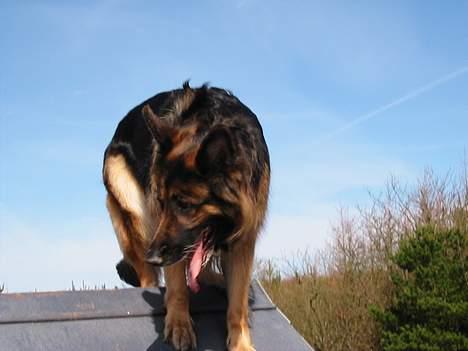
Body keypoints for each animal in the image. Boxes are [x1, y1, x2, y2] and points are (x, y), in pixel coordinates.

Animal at [102, 81, 270, 350]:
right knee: (148, 277)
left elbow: (237, 302)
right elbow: (177, 284)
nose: (152, 256)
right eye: (162, 202)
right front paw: (179, 324)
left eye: (184, 204)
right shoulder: (166, 236)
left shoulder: (244, 237)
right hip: (132, 206)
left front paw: (241, 343)